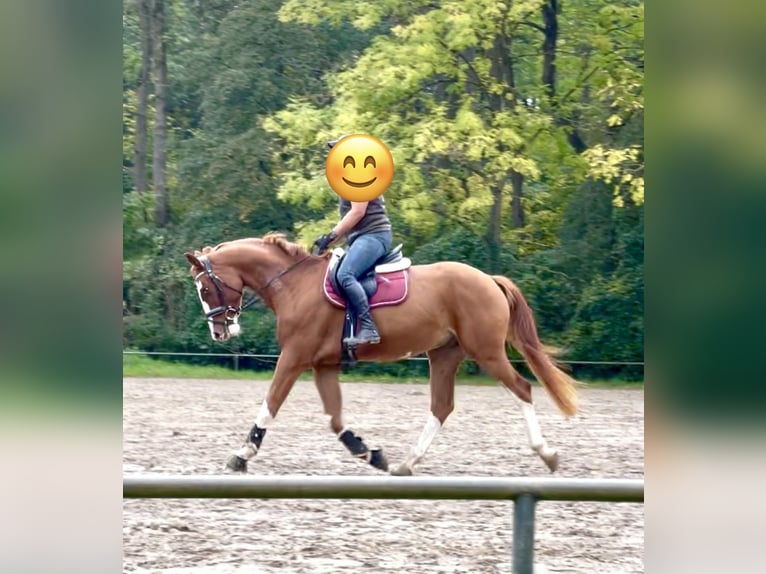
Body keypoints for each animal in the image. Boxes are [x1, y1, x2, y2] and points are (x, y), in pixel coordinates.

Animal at [184, 232, 579, 476]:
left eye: (204, 288)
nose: (219, 332)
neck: (293, 284)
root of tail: (488, 279)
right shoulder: (323, 365)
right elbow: (335, 419)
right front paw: (369, 452)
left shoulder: (294, 357)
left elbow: (271, 403)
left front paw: (242, 455)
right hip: (444, 355)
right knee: (441, 406)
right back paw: (407, 463)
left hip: (487, 352)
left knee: (522, 389)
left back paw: (547, 454)